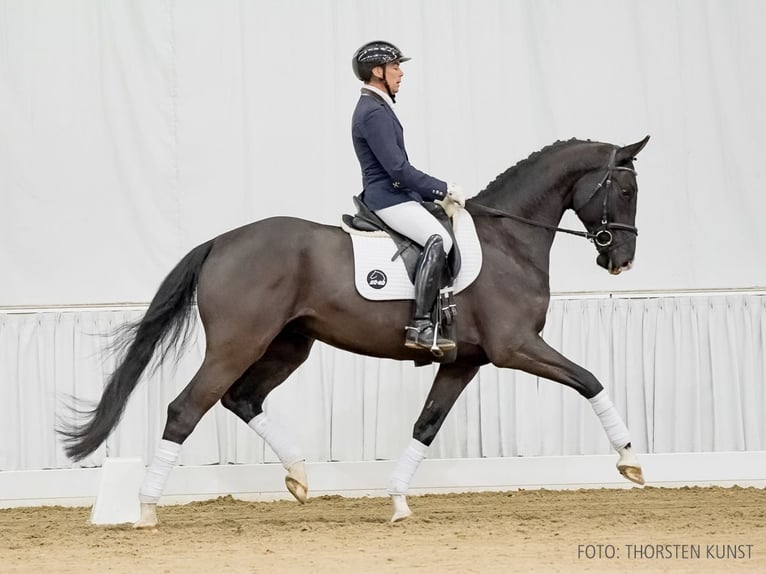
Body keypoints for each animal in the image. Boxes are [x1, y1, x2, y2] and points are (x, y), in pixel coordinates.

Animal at [60, 134, 652, 528]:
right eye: (624, 190)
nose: (621, 261)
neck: (509, 241)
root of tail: (221, 242)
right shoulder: (516, 347)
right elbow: (591, 379)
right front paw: (630, 461)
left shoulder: (463, 360)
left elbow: (426, 425)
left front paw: (398, 502)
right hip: (237, 343)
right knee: (187, 408)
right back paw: (145, 509)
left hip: (289, 345)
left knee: (242, 399)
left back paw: (299, 476)